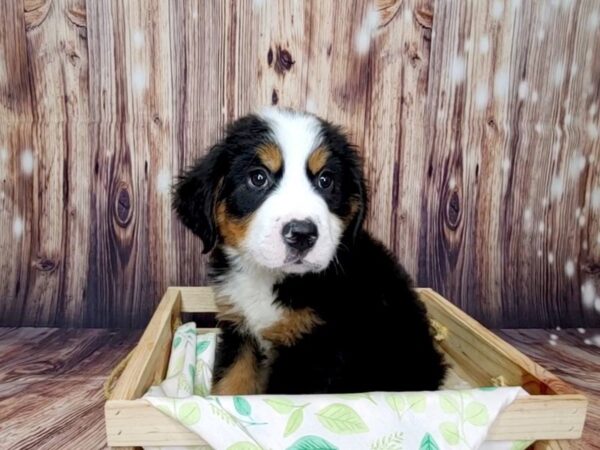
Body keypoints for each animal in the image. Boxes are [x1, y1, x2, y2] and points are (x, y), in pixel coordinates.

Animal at [173, 108, 446, 394]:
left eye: (325, 180)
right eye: (258, 178)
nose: (302, 234)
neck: (270, 278)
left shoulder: (313, 353)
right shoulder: (239, 327)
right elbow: (232, 383)